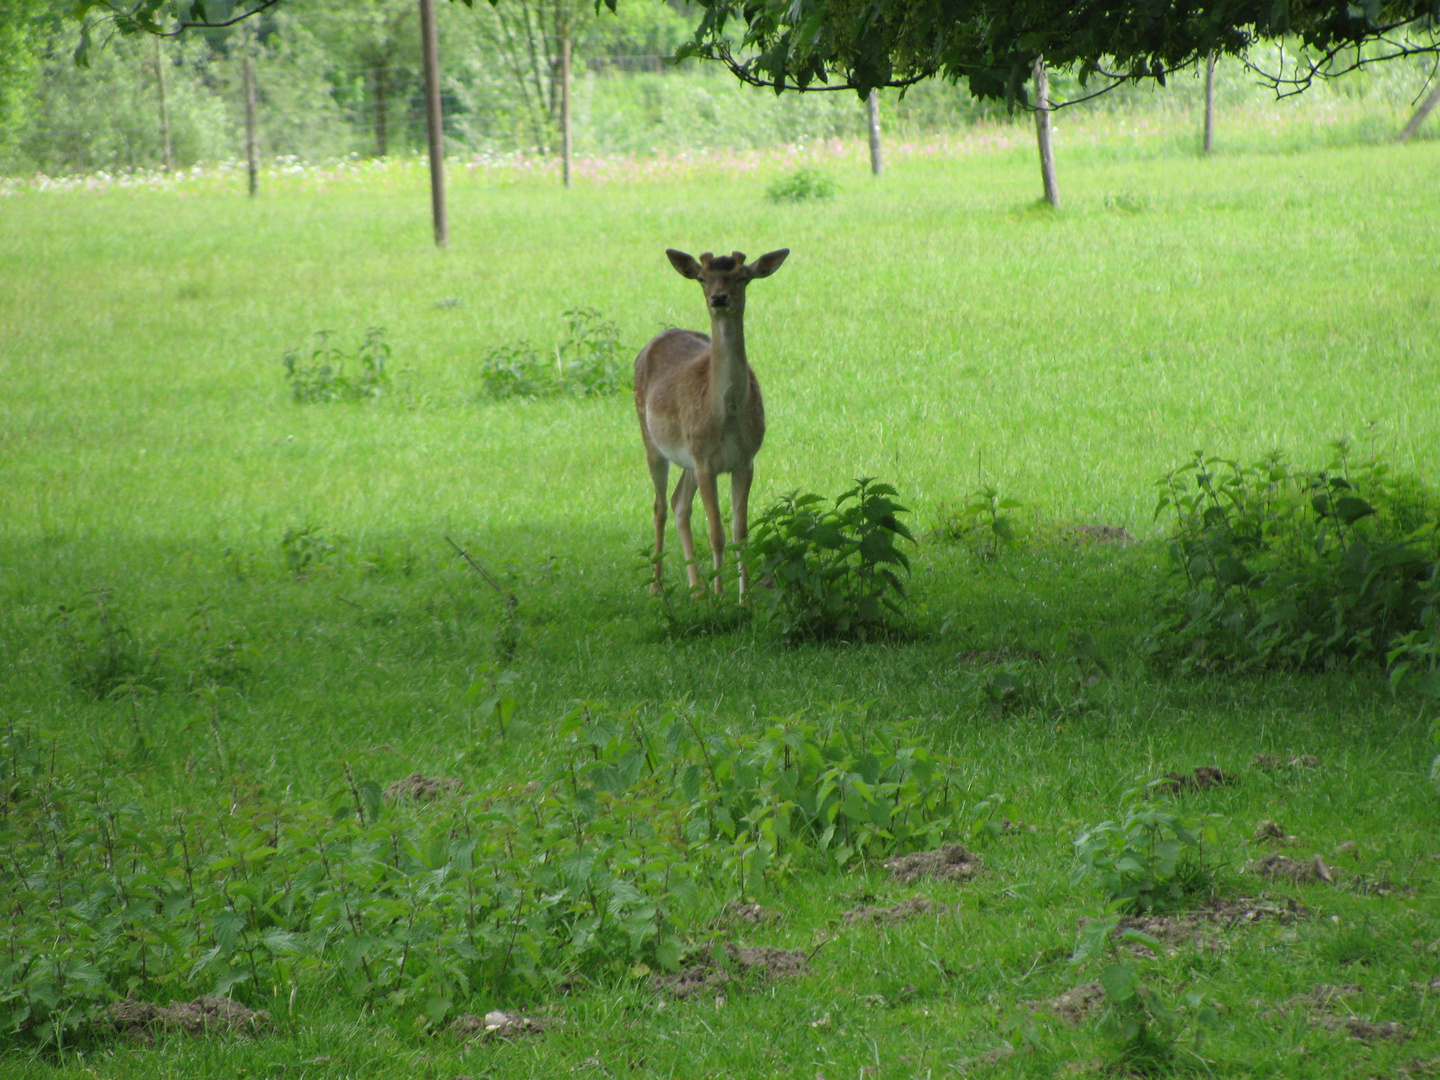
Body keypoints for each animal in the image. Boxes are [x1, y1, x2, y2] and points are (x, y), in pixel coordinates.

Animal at [630, 246, 789, 604]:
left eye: (742, 277)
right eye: (702, 278)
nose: (719, 298)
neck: (725, 416)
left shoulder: (745, 460)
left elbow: (740, 533)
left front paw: (744, 599)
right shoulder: (705, 462)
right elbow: (717, 533)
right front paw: (721, 597)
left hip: (688, 456)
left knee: (679, 503)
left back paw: (697, 588)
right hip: (652, 440)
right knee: (660, 505)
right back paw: (658, 585)